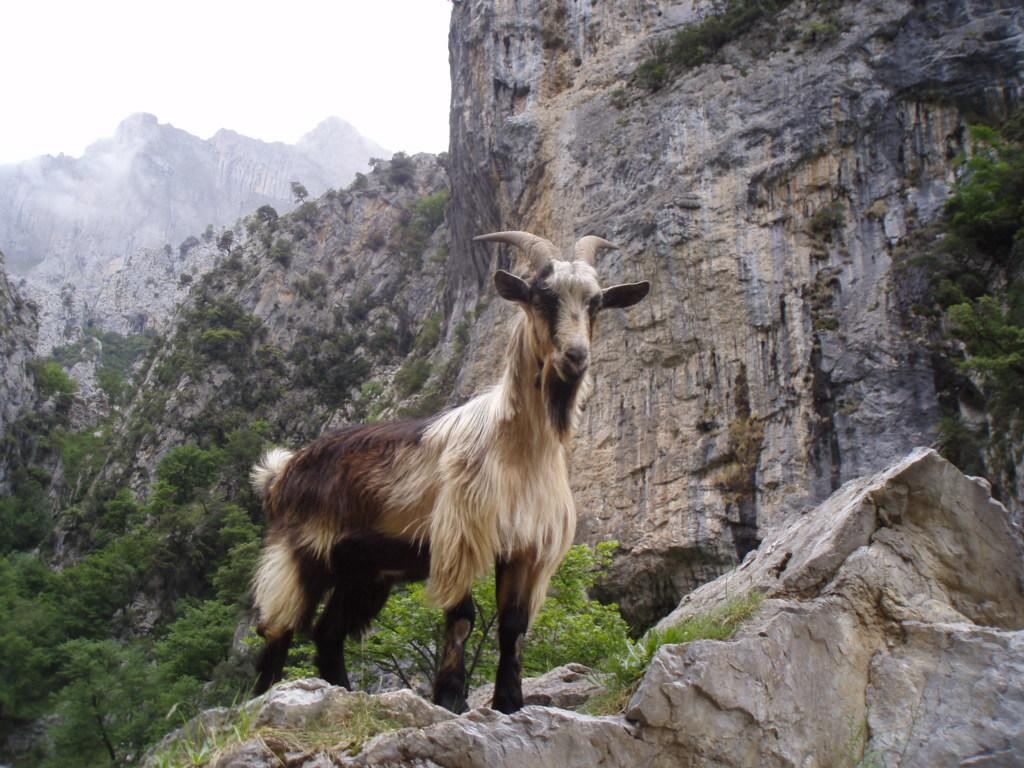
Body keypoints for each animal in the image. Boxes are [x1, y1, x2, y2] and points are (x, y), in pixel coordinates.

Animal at [249, 230, 650, 712]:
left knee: (327, 632)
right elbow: (461, 617)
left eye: (596, 303)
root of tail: (280, 472)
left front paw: (509, 702)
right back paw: (258, 702)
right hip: (299, 553)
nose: (575, 356)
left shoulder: (527, 550)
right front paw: (451, 698)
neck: (518, 451)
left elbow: (513, 627)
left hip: (364, 571)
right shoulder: (460, 535)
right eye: (542, 295)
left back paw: (344, 694)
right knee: (277, 630)